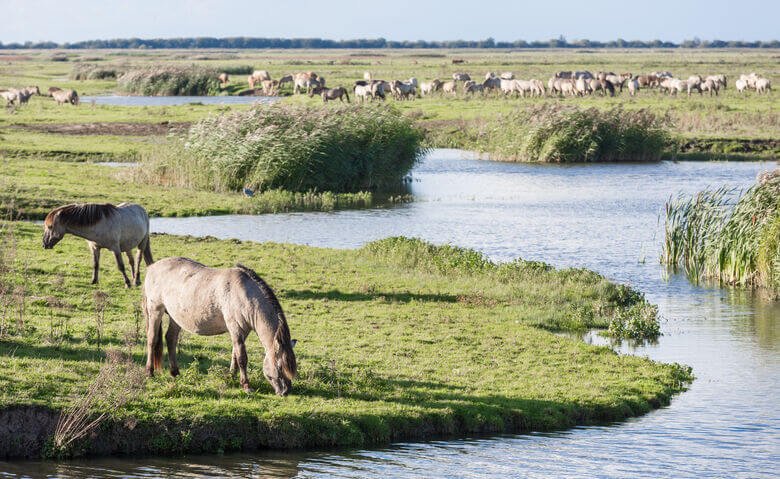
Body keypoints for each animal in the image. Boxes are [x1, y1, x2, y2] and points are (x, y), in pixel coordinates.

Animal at [142, 257, 298, 395]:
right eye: (280, 366)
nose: (285, 391)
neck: (245, 294)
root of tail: (152, 268)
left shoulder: (243, 331)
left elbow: (235, 353)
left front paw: (232, 376)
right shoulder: (235, 328)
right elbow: (242, 357)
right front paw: (246, 386)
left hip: (175, 317)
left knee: (171, 339)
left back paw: (175, 373)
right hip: (155, 310)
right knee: (152, 339)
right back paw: (149, 372)